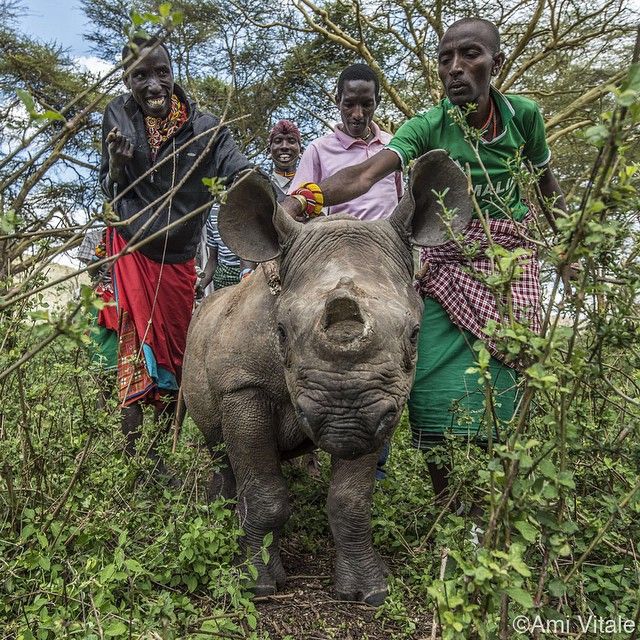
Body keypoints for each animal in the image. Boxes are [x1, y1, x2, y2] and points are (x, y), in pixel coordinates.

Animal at [181, 150, 470, 604]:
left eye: (415, 333)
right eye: (281, 331)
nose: (344, 419)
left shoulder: (384, 401)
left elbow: (351, 499)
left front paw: (369, 591)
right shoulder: (242, 385)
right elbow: (263, 493)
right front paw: (255, 583)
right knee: (218, 446)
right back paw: (219, 509)